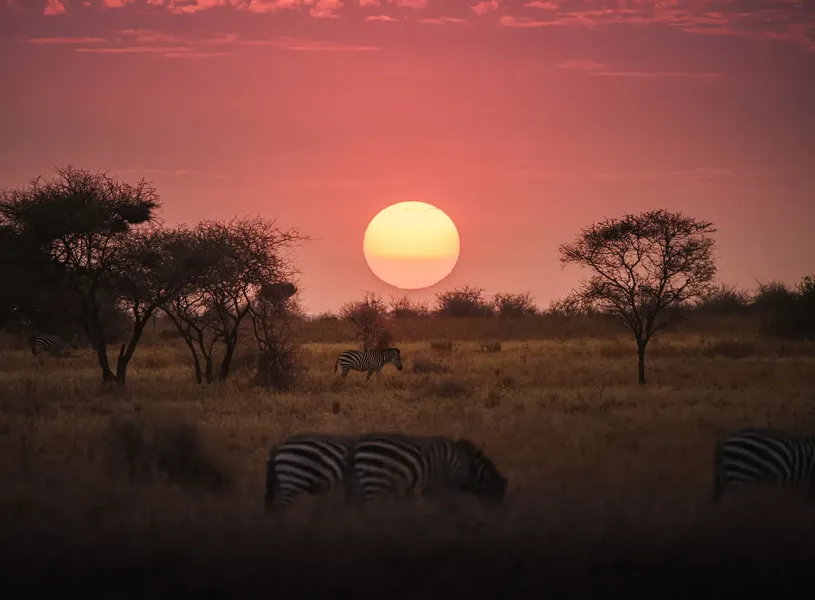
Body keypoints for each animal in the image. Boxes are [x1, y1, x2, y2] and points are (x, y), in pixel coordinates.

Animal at [344, 433, 508, 507]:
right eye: (498, 494)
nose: (500, 514)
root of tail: (357, 446)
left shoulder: (425, 488)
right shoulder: (445, 485)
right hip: (375, 482)